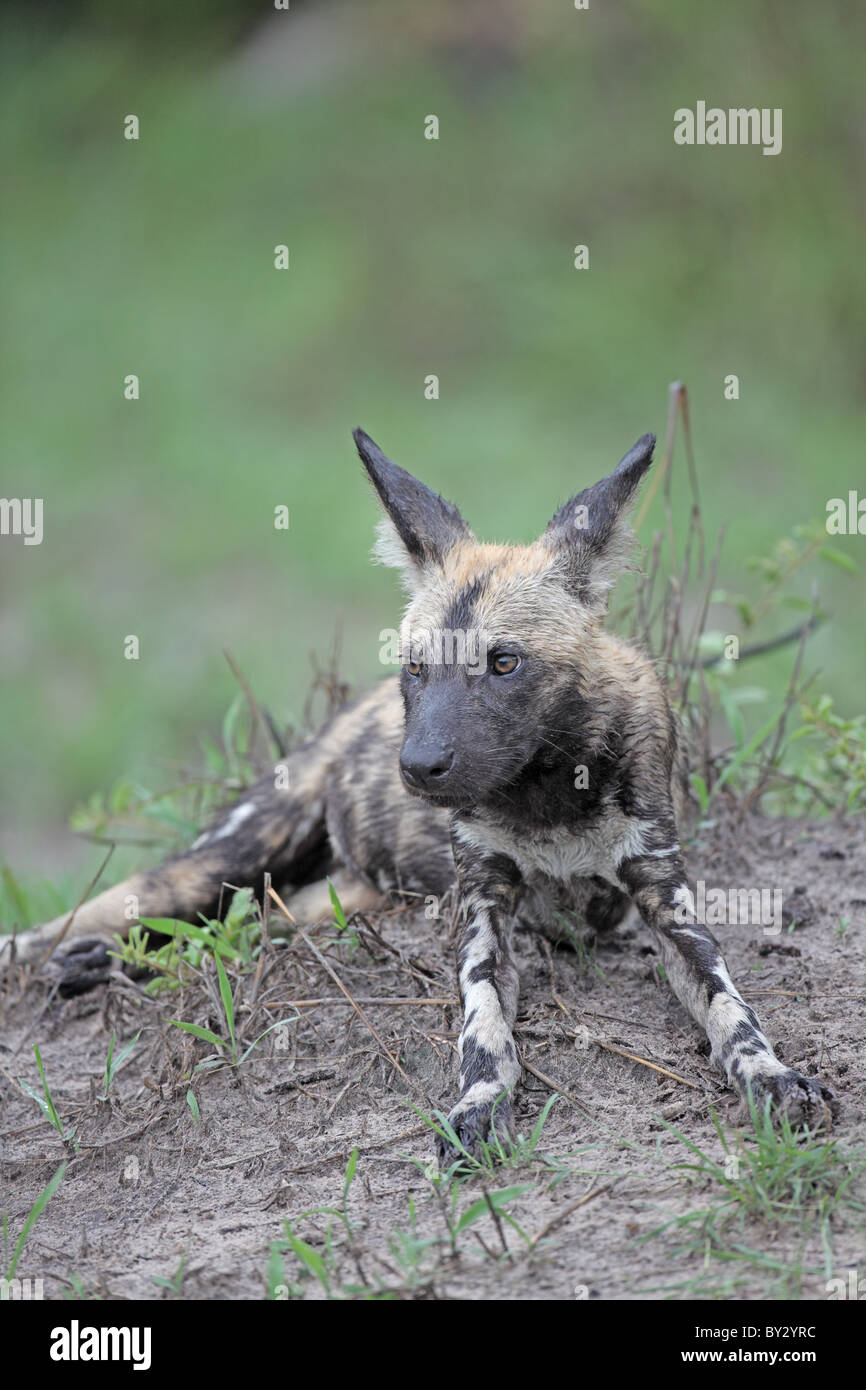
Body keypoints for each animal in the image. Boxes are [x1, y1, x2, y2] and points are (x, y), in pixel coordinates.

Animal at [5, 428, 834, 1156]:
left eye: (503, 662)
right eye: (414, 665)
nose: (418, 765)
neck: (548, 794)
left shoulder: (666, 902)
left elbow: (731, 1008)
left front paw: (772, 1074)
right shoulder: (484, 912)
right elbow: (485, 1026)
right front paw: (479, 1104)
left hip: (346, 902)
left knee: (244, 933)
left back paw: (101, 966)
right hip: (224, 858)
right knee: (109, 922)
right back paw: (70, 958)